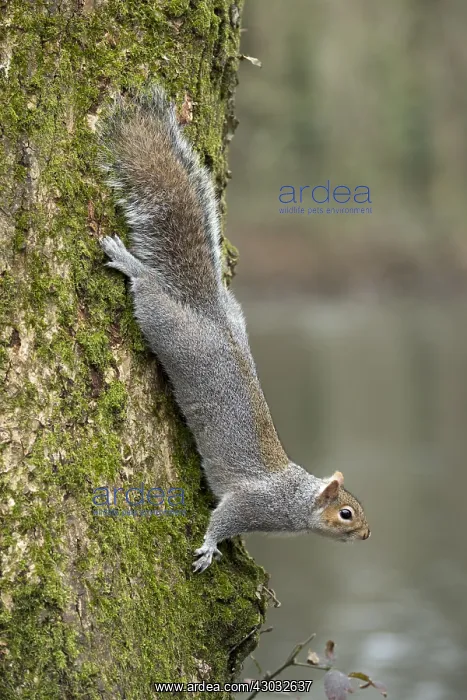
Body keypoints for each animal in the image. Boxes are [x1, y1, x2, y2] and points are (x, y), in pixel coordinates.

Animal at [98, 86, 370, 573]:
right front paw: (209, 547)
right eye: (345, 513)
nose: (367, 533)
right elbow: (223, 517)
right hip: (166, 325)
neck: (293, 499)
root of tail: (208, 310)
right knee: (148, 287)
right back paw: (129, 262)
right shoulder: (250, 504)